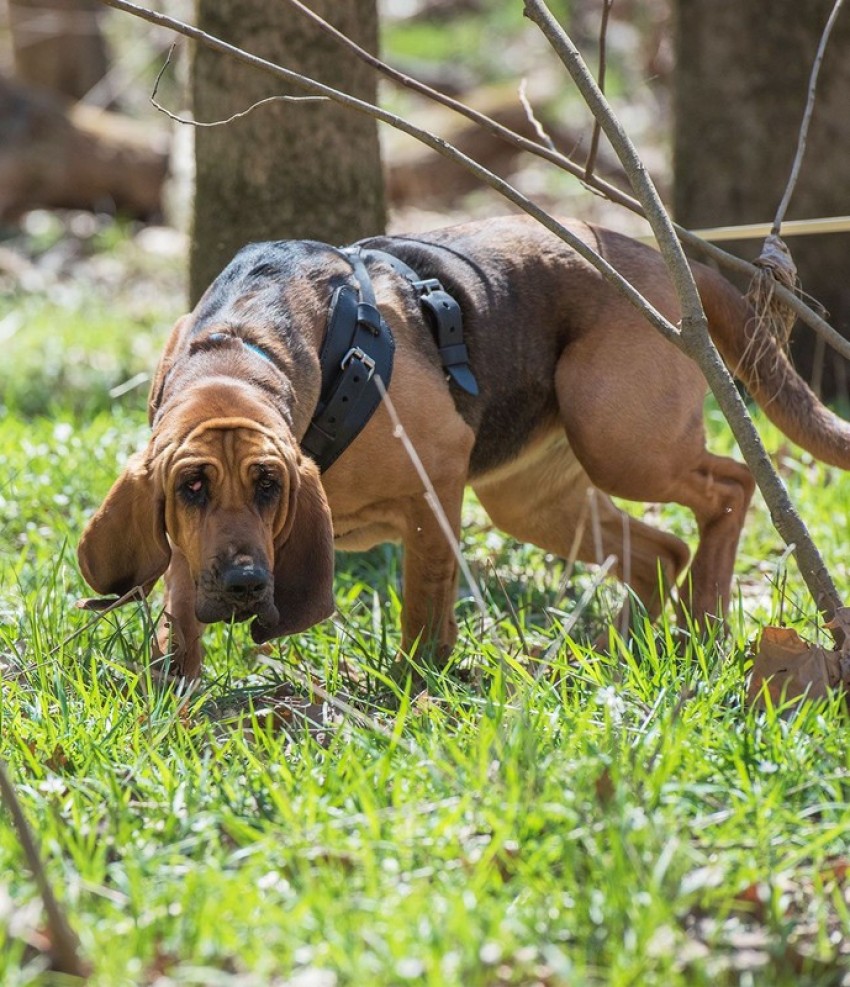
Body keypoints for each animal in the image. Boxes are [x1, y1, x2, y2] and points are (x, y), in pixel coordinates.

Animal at [78, 218, 848, 680]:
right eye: (192, 489)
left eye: (270, 486)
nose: (243, 585)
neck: (240, 346)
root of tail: (650, 253)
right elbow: (179, 606)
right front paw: (174, 686)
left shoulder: (434, 489)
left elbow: (424, 602)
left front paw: (413, 683)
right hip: (532, 498)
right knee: (660, 551)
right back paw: (634, 644)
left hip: (621, 442)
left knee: (733, 485)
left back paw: (705, 617)